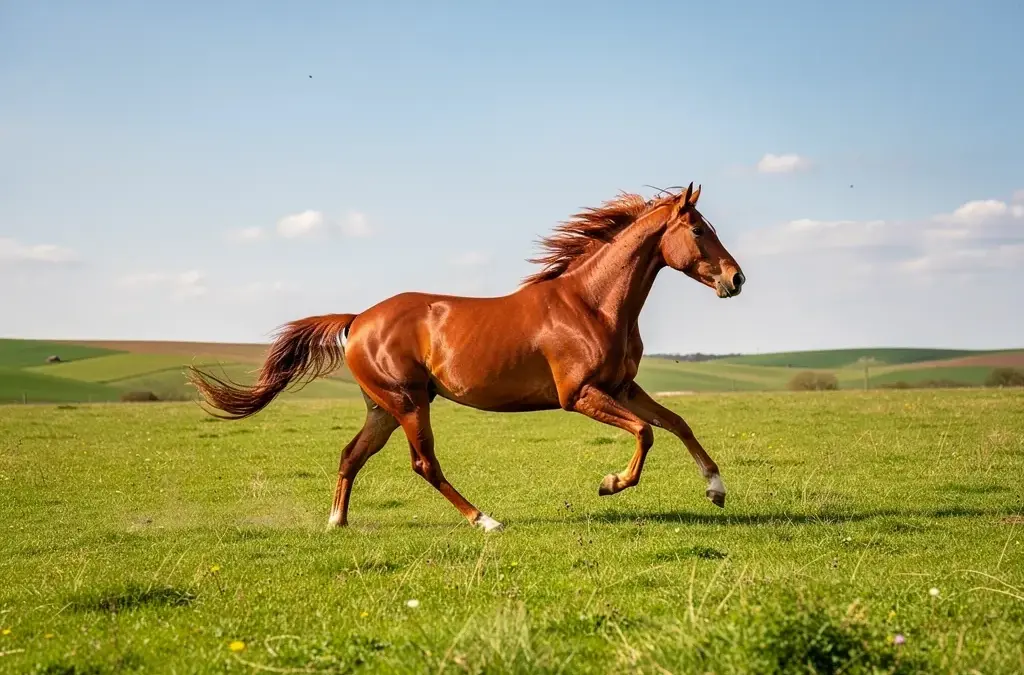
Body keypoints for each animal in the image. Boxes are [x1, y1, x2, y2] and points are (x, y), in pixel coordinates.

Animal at [187, 182, 746, 532]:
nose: (736, 279)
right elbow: (646, 432)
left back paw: (337, 522)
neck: (591, 304)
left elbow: (676, 422)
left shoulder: (622, 387)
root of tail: (358, 318)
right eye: (699, 230)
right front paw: (611, 484)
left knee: (351, 455)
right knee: (424, 463)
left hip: (383, 408)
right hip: (410, 403)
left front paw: (716, 489)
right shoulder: (580, 394)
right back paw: (485, 520)